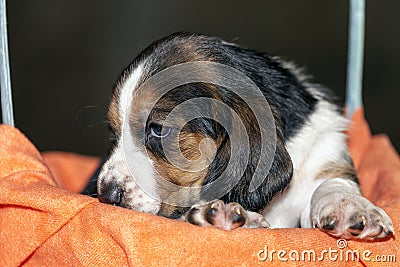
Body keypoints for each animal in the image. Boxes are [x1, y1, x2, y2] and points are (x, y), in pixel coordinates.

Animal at [97, 31, 394, 241]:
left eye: (157, 129)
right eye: (113, 133)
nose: (106, 194)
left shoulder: (325, 152)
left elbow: (332, 183)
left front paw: (351, 208)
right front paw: (218, 215)